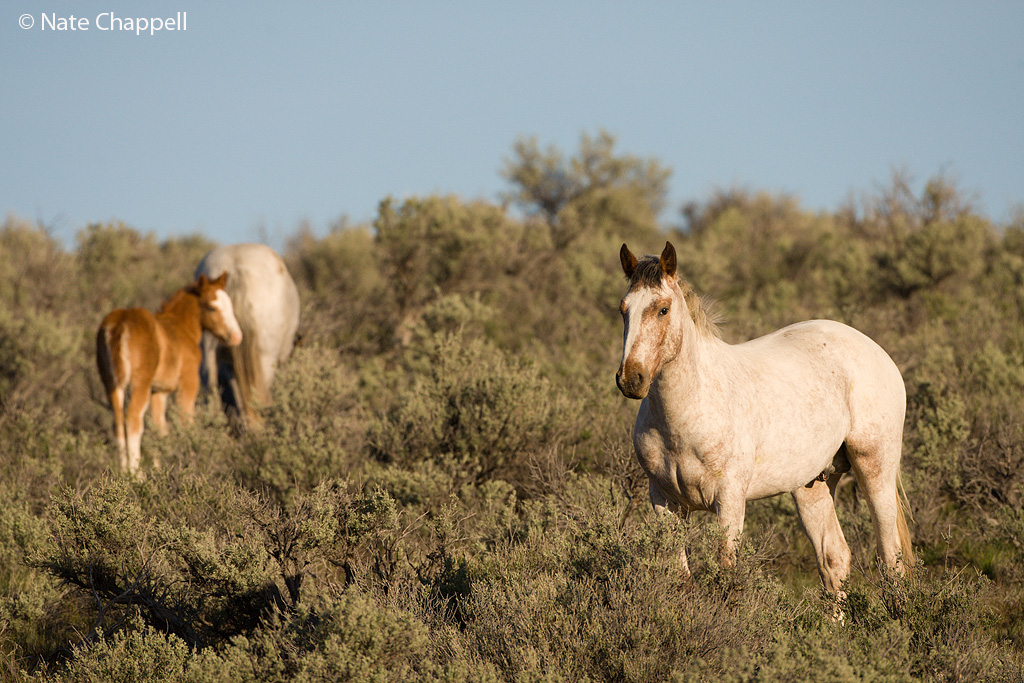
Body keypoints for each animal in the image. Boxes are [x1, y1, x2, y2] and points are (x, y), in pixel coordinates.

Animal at [96, 273, 243, 474]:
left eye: (229, 303)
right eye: (212, 307)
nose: (236, 336)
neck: (183, 328)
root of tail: (118, 325)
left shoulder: (159, 391)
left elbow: (159, 429)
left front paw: (161, 468)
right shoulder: (188, 383)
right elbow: (186, 422)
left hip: (111, 384)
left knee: (117, 422)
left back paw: (123, 472)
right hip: (140, 384)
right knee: (133, 420)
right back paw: (136, 475)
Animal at [616, 241, 913, 595]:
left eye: (662, 309)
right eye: (623, 310)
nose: (631, 379)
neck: (683, 419)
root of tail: (876, 350)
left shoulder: (729, 500)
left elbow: (726, 572)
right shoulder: (664, 501)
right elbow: (681, 577)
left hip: (875, 468)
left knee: (891, 558)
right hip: (812, 485)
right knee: (835, 560)